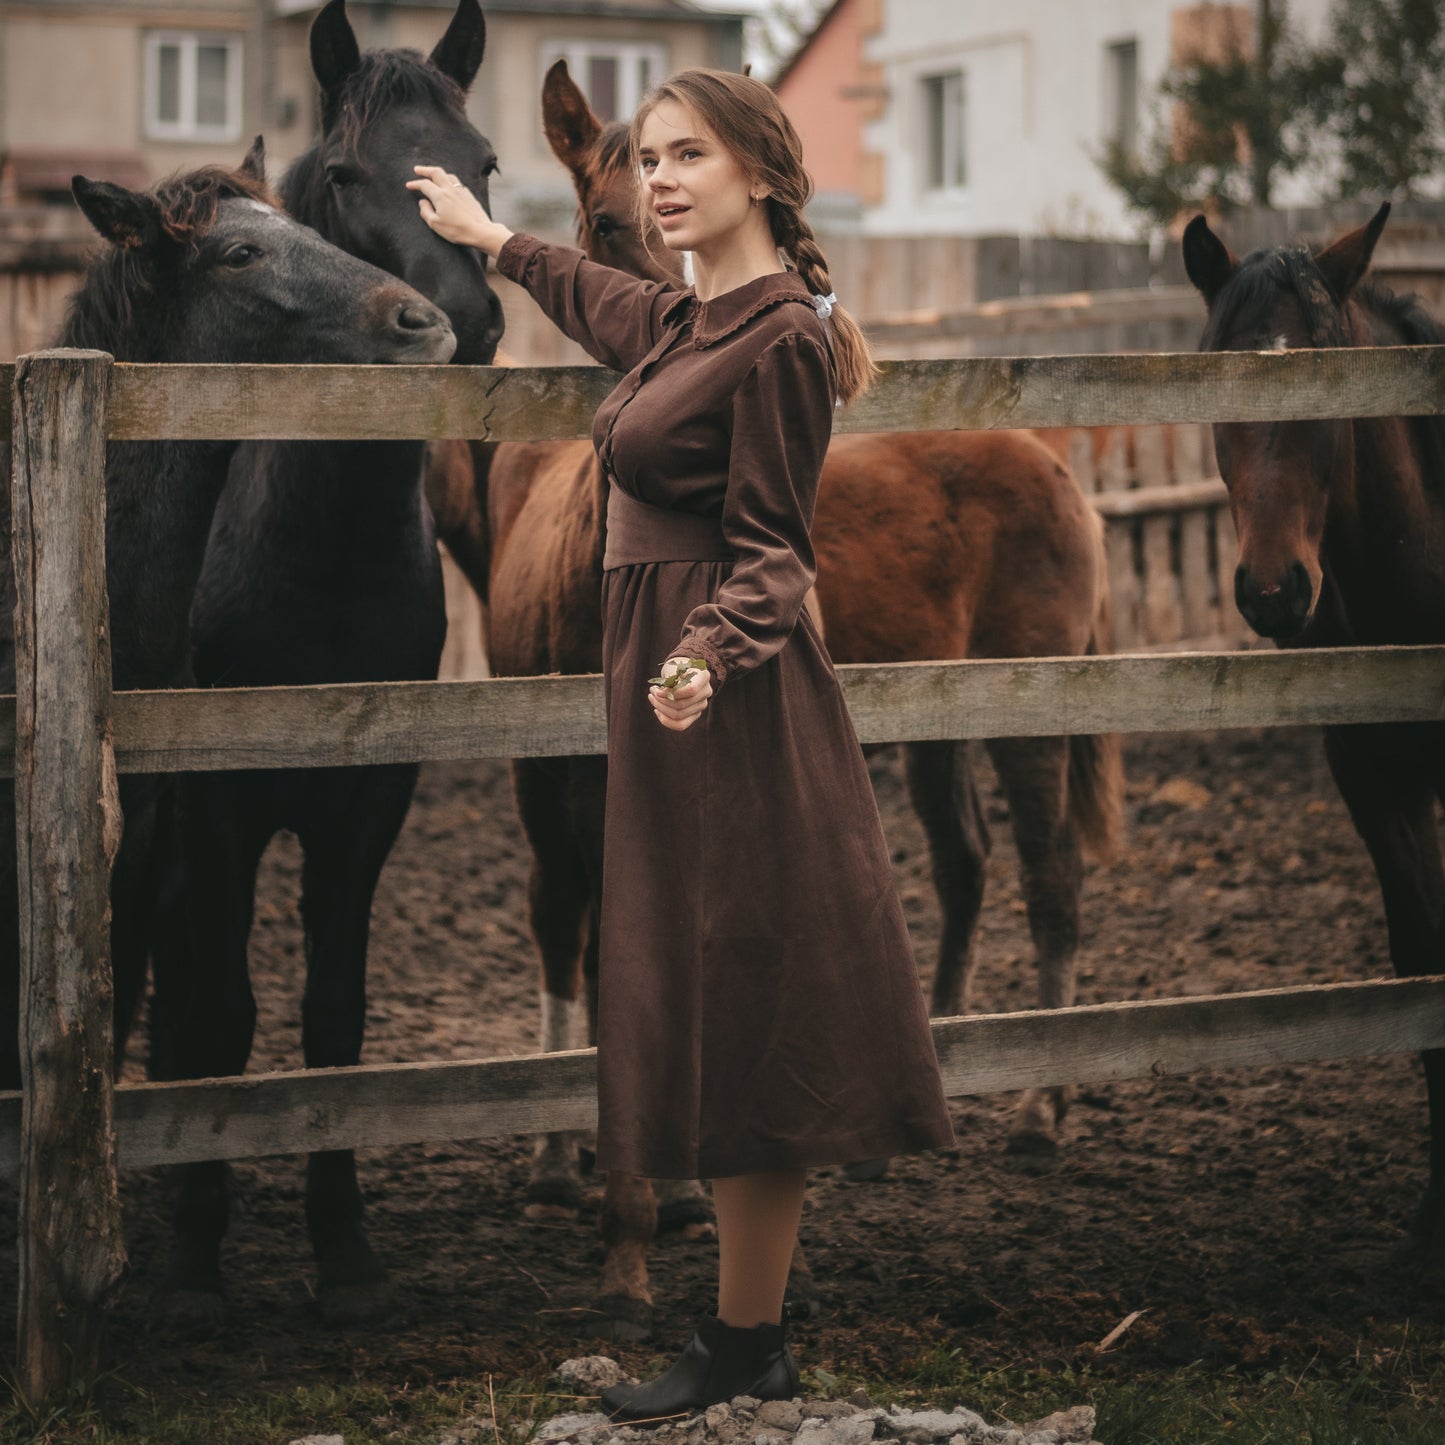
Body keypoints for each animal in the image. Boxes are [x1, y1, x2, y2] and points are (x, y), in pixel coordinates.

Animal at [152, 0, 502, 1329]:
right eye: (348, 174)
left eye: (485, 163)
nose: (462, 320)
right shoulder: (218, 805)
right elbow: (224, 1005)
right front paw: (195, 1247)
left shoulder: (368, 803)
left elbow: (334, 1014)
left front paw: (343, 1245)